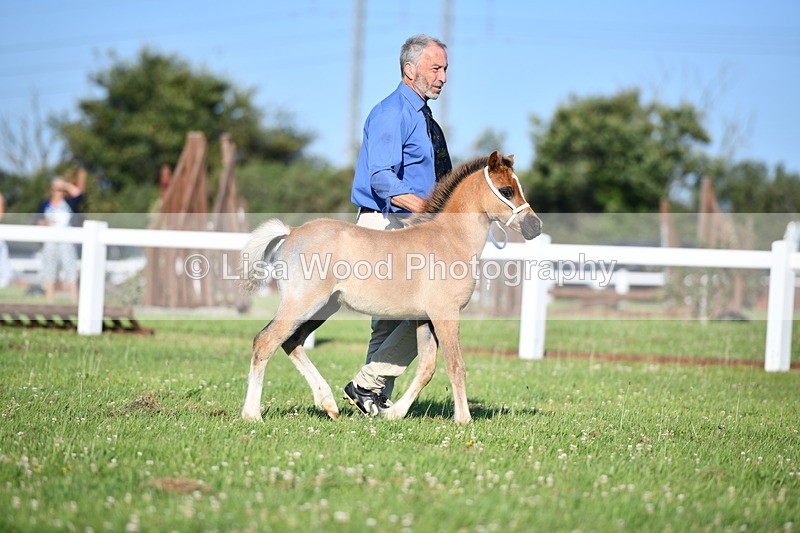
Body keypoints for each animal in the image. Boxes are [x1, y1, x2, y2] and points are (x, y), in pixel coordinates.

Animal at [239, 150, 542, 425]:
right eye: (506, 190)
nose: (535, 226)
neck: (449, 239)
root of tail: (291, 232)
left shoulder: (423, 319)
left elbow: (426, 368)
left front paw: (394, 412)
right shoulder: (446, 314)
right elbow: (456, 366)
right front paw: (464, 419)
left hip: (324, 307)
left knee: (291, 342)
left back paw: (329, 404)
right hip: (303, 304)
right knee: (266, 341)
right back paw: (252, 414)